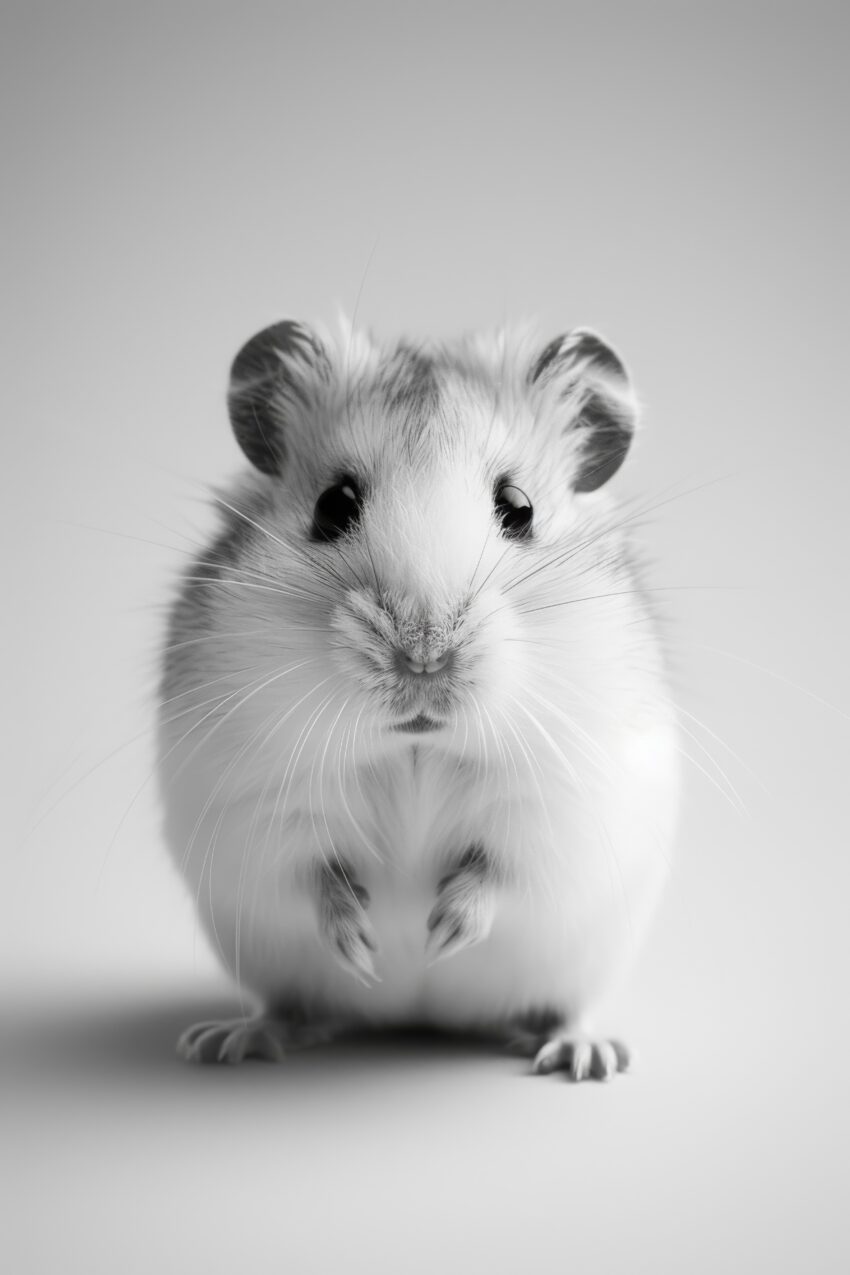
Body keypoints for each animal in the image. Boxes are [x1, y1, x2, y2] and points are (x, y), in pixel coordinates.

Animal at [158, 318, 679, 1080]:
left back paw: (584, 1054)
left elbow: (499, 870)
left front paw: (438, 934)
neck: (416, 747)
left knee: (559, 1009)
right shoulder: (258, 802)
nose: (425, 657)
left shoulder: (560, 805)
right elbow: (310, 872)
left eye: (519, 507)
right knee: (294, 1009)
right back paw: (231, 1039)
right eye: (333, 504)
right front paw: (368, 943)